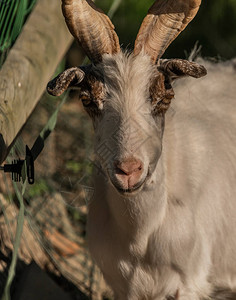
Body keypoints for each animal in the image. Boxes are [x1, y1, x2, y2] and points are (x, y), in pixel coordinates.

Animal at [47, 1, 236, 298]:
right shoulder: (122, 286)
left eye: (165, 98)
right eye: (87, 100)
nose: (128, 170)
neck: (140, 235)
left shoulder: (189, 283)